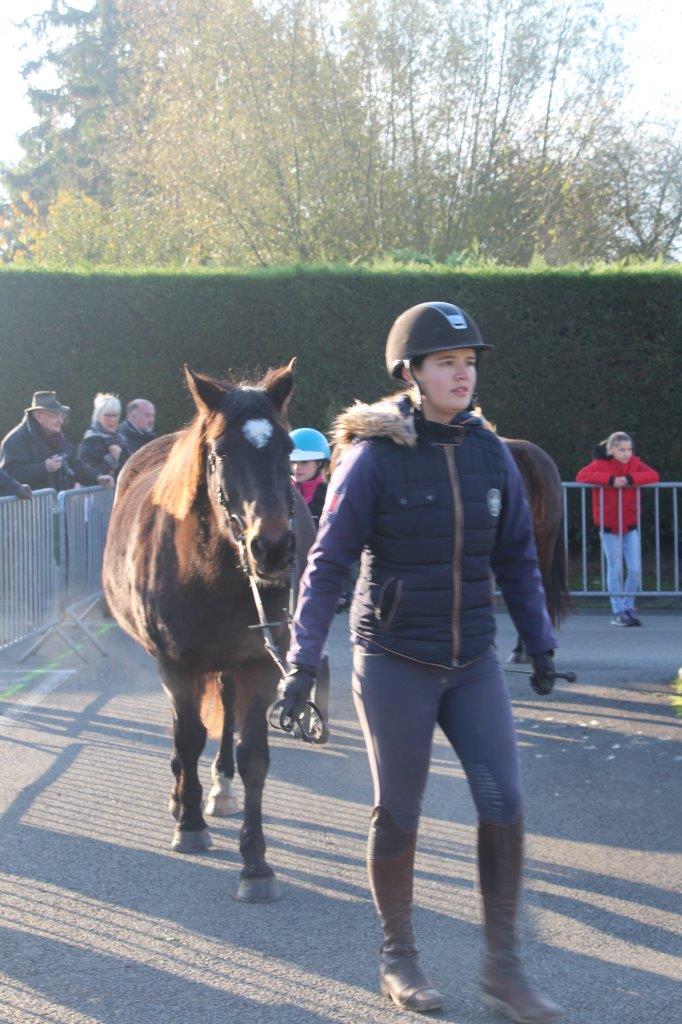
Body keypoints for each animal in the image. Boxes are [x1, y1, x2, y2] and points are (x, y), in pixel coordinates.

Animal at [102, 364, 315, 901]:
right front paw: (190, 822)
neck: (209, 571)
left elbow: (253, 753)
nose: (273, 548)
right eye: (220, 451)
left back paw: (220, 788)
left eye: (286, 448)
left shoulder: (260, 664)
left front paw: (256, 864)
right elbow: (188, 737)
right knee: (187, 730)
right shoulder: (177, 664)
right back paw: (183, 797)